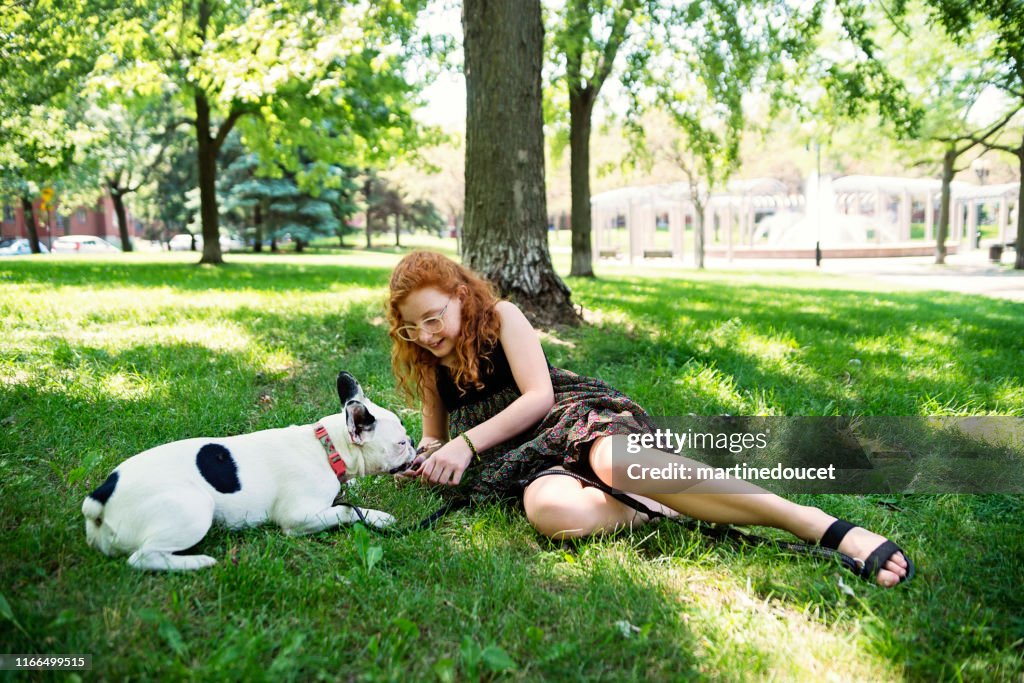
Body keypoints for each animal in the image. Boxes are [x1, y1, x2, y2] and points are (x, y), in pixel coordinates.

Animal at [81, 370, 413, 569]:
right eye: (399, 443)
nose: (412, 442)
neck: (327, 447)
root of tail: (101, 497)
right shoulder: (298, 517)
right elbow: (346, 510)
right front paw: (379, 517)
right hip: (193, 509)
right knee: (142, 557)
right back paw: (197, 562)